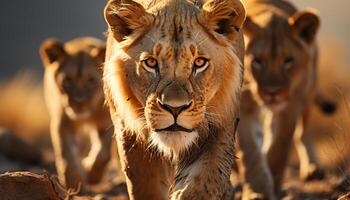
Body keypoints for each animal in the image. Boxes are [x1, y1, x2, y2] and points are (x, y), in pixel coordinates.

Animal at [40, 37, 113, 189]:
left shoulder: (105, 122)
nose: (79, 102)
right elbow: (66, 153)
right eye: (67, 80)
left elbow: (103, 153)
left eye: (91, 80)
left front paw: (92, 175)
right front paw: (73, 182)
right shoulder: (63, 123)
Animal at [102, 0, 246, 198]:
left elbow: (200, 186)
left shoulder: (220, 129)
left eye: (199, 62)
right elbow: (147, 189)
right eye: (151, 63)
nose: (175, 108)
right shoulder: (131, 136)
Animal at [238, 0, 334, 198]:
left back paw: (312, 169)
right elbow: (250, 151)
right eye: (257, 61)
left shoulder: (291, 105)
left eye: (288, 60)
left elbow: (278, 149)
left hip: (308, 91)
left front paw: (272, 187)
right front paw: (256, 191)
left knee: (303, 132)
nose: (272, 92)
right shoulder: (243, 104)